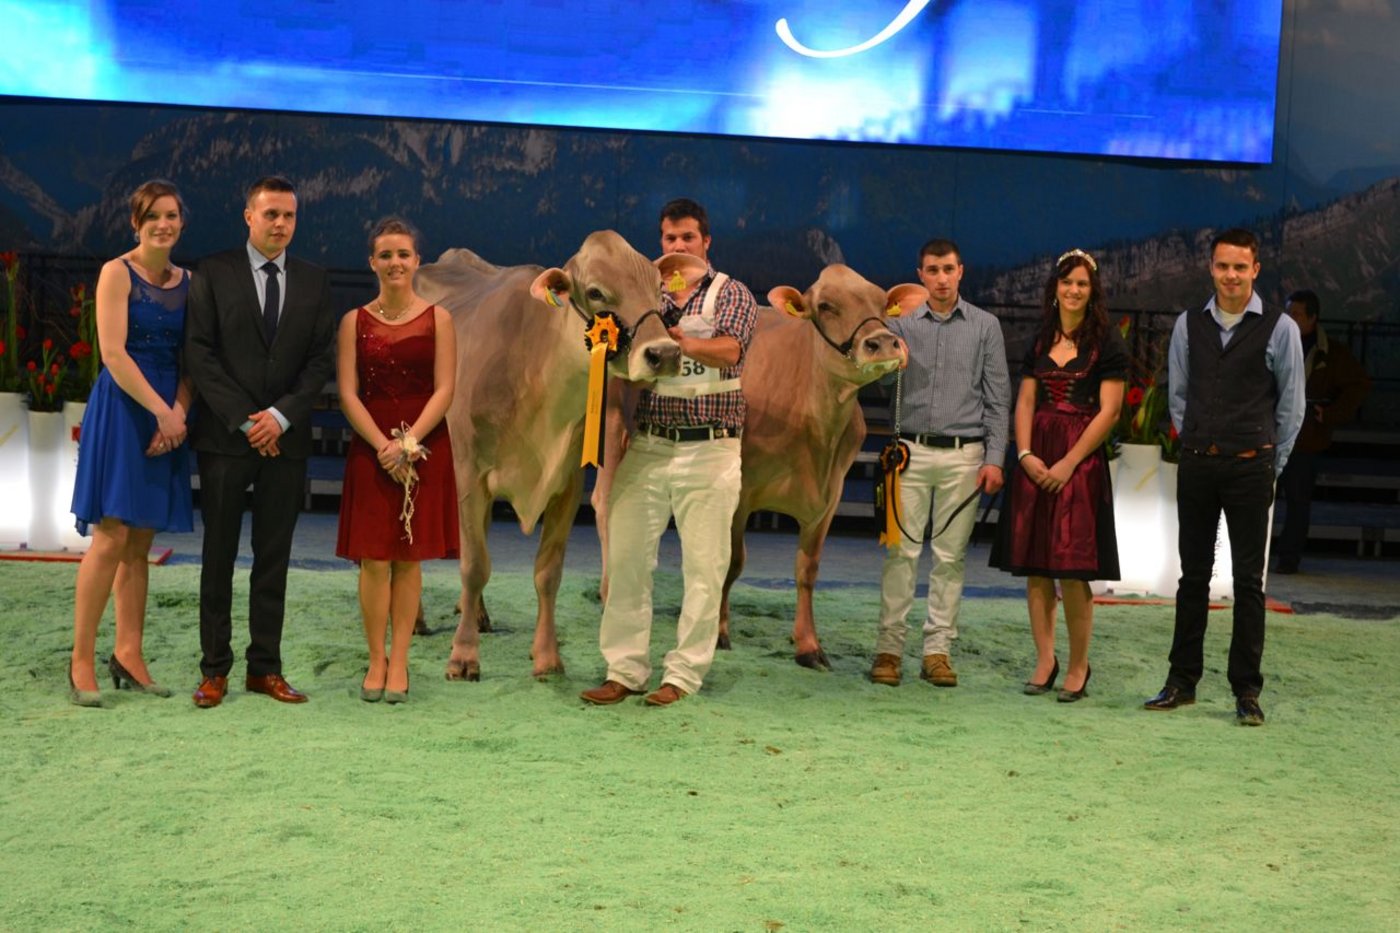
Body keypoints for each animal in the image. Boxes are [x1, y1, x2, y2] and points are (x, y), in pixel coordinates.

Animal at [414, 231, 706, 680]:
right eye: (596, 292)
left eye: (659, 288)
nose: (665, 354)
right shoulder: (469, 473)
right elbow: (475, 565)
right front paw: (463, 656)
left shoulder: (568, 483)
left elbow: (548, 572)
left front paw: (548, 657)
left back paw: (475, 613)